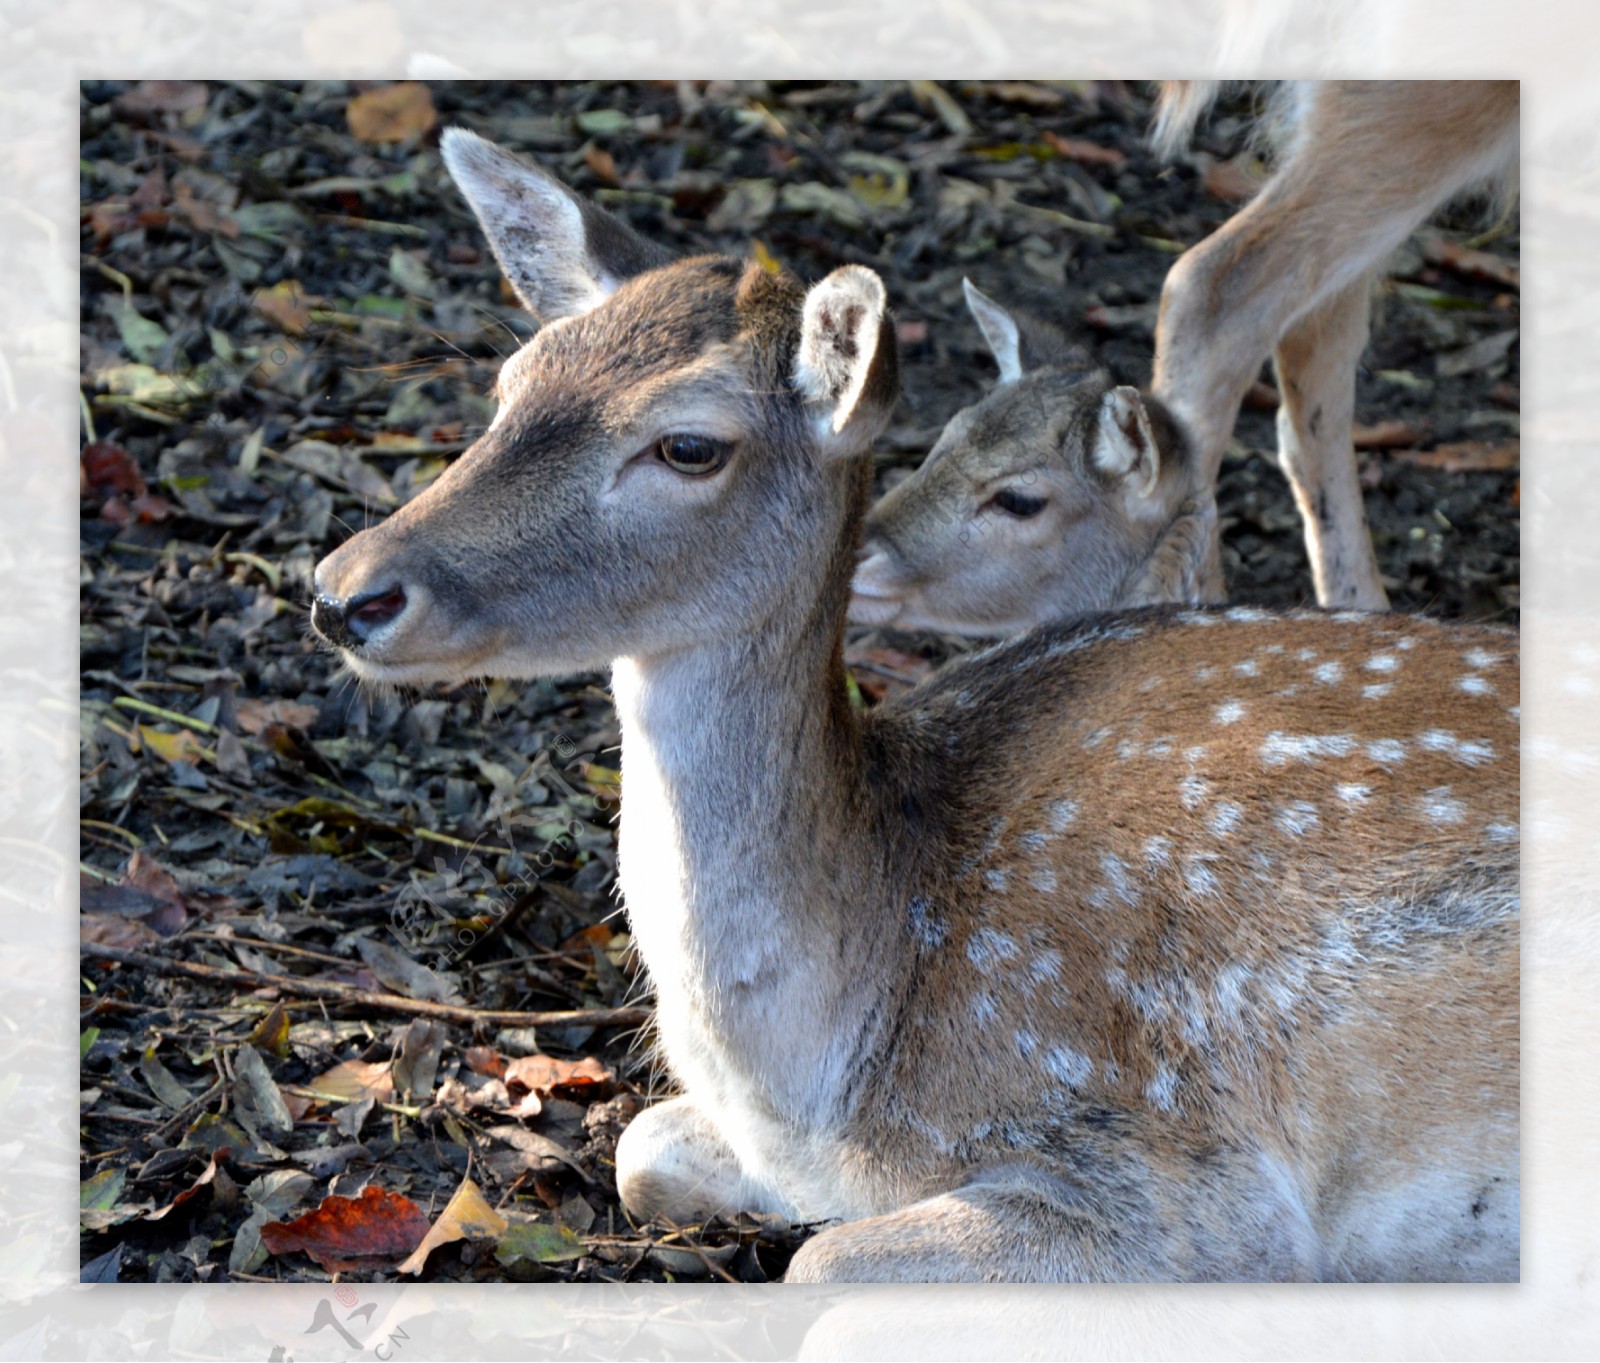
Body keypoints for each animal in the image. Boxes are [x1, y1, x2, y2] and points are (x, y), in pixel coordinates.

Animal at [312, 132, 1523, 1286]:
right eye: (511, 382)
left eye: (688, 443)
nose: (344, 590)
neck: (827, 1076)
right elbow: (641, 1148)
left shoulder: (1194, 1175)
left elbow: (817, 1262)